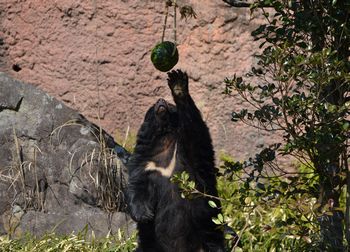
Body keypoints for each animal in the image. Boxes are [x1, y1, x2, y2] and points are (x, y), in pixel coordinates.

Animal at [126, 69, 224, 252]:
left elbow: (195, 132)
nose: (161, 101)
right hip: (150, 243)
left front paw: (178, 84)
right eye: (153, 106)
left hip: (208, 232)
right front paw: (144, 214)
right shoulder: (145, 163)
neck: (166, 139)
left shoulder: (191, 156)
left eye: (170, 105)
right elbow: (137, 186)